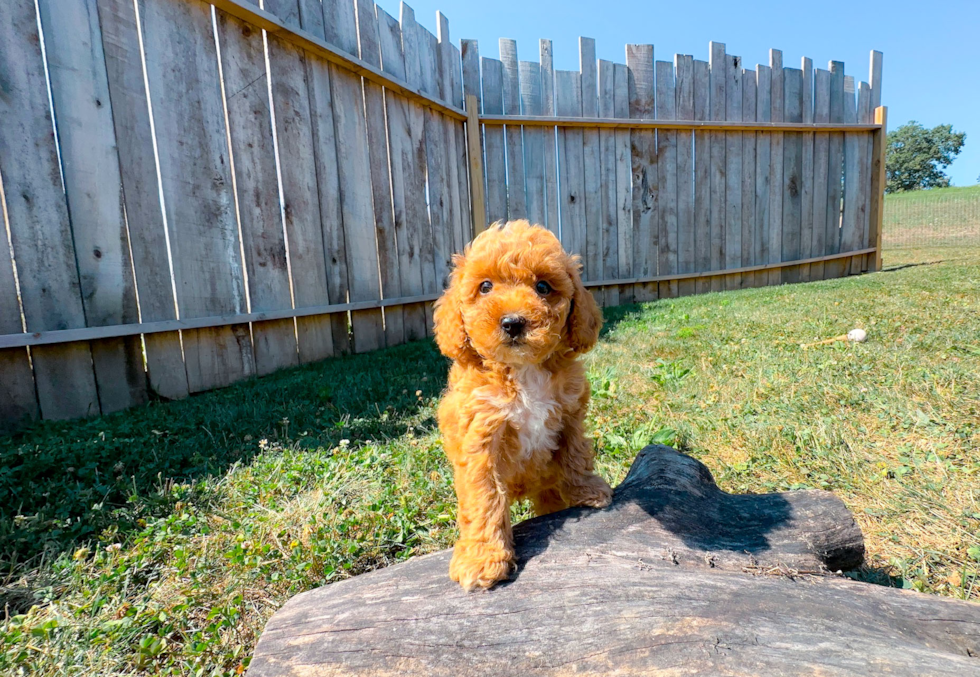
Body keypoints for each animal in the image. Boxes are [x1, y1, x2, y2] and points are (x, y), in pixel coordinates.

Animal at [432, 219, 608, 588]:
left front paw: (586, 490)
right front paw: (482, 559)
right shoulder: (481, 437)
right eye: (485, 287)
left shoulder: (569, 414)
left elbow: (574, 454)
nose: (513, 322)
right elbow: (484, 497)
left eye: (543, 287)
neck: (523, 371)